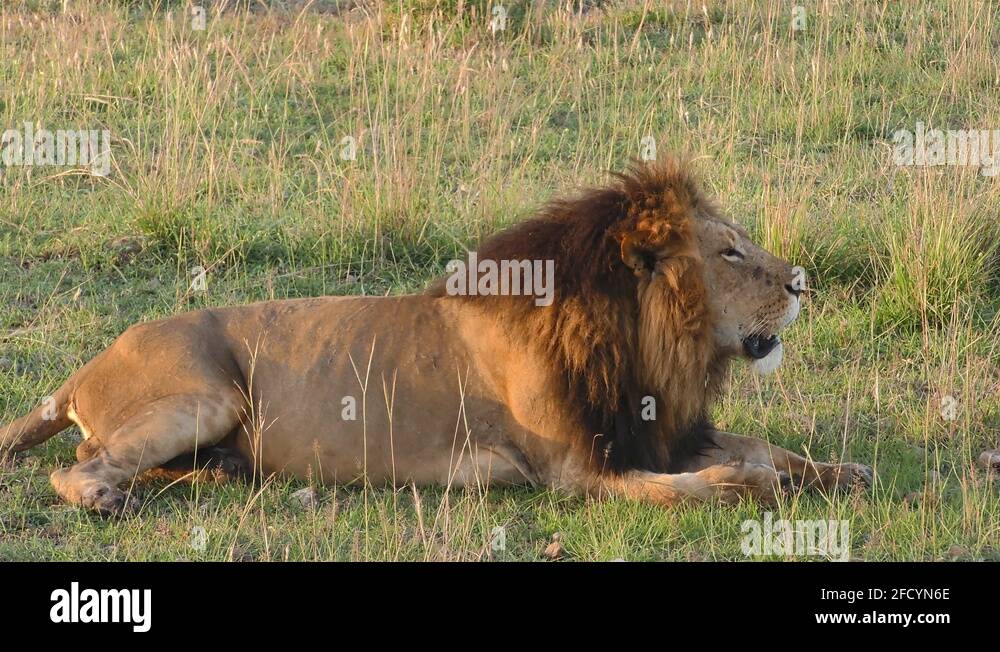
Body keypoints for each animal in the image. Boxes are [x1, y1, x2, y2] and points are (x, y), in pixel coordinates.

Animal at [1, 159, 872, 515]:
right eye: (730, 253)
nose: (801, 282)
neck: (647, 344)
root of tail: (83, 369)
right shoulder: (573, 469)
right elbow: (694, 485)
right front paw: (754, 488)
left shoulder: (656, 429)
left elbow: (761, 444)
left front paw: (836, 471)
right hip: (206, 392)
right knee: (80, 464)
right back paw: (106, 498)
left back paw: (220, 473)